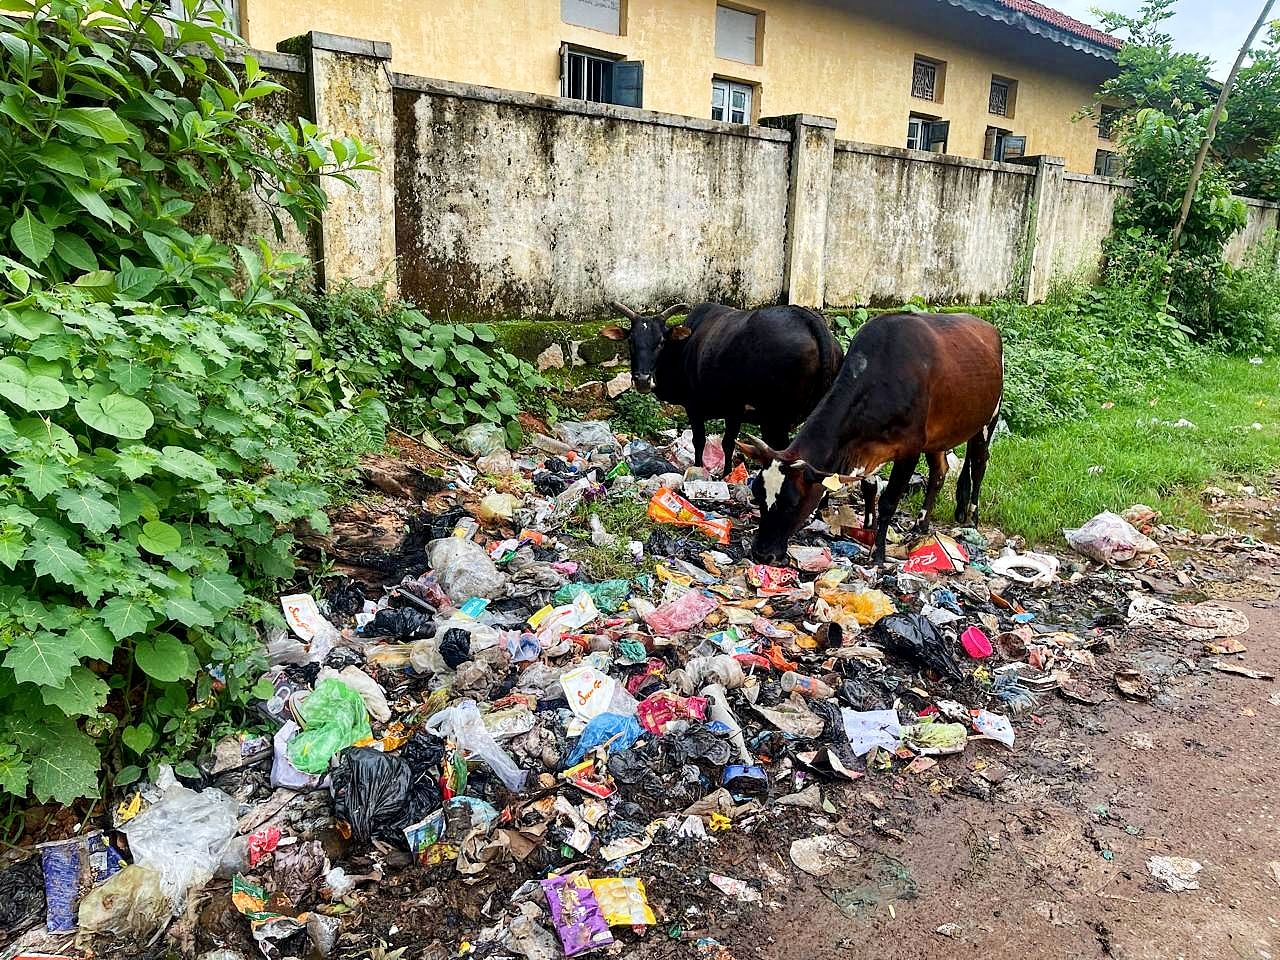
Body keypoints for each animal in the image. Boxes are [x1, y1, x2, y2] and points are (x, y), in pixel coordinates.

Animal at [604, 302, 844, 478]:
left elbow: (703, 441)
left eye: (661, 341)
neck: (682, 348)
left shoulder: (700, 408)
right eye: (631, 341)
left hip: (775, 419)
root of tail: (811, 321)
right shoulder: (733, 413)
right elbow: (728, 444)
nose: (643, 380)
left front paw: (705, 469)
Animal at [742, 312, 998, 563]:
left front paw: (878, 554)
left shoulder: (910, 450)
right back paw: (921, 524)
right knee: (940, 471)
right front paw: (868, 528)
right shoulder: (868, 448)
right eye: (758, 494)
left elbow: (888, 501)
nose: (762, 554)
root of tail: (987, 327)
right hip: (938, 437)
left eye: (793, 502)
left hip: (988, 420)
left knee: (979, 465)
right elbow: (869, 487)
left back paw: (972, 518)